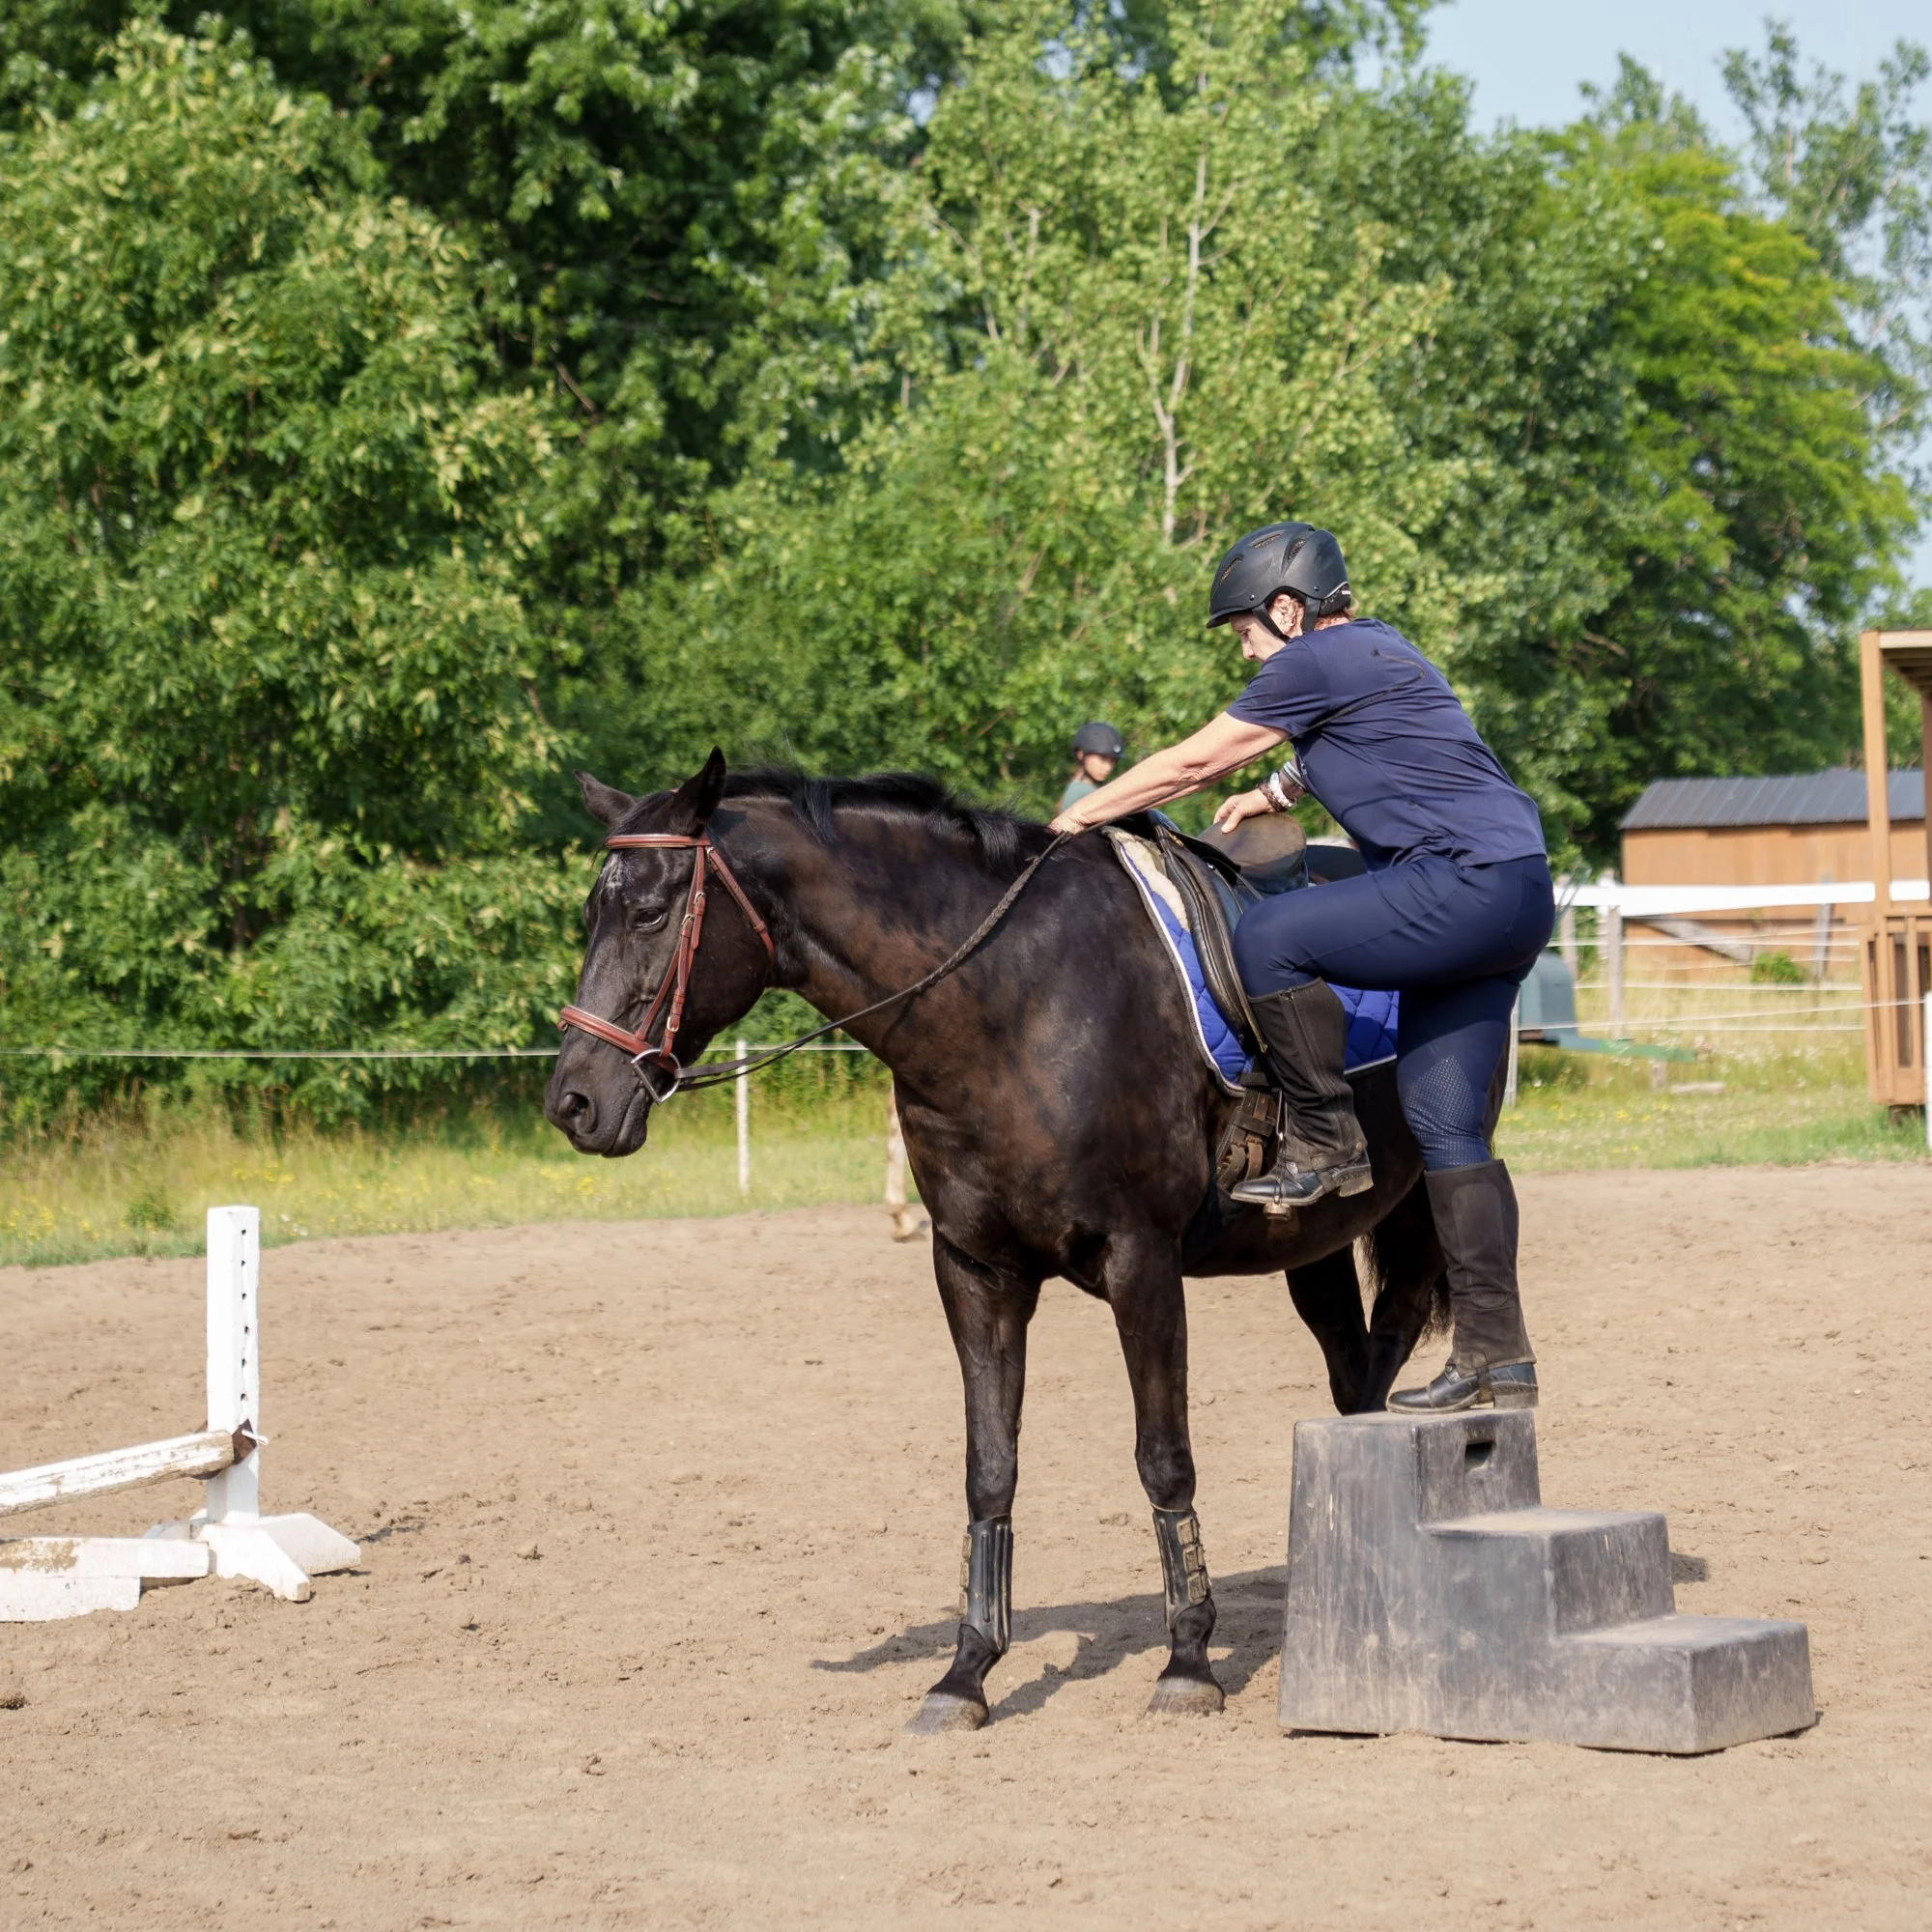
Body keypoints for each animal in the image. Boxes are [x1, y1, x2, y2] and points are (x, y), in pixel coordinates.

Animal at [544, 751, 1453, 1732]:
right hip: (1314, 1242)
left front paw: (1187, 1661)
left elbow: (1163, 1458)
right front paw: (966, 1669)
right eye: (592, 914)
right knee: (1353, 1374)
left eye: (650, 912)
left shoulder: (1142, 1263)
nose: (573, 1103)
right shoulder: (976, 1272)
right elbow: (990, 1469)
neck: (1010, 1005)